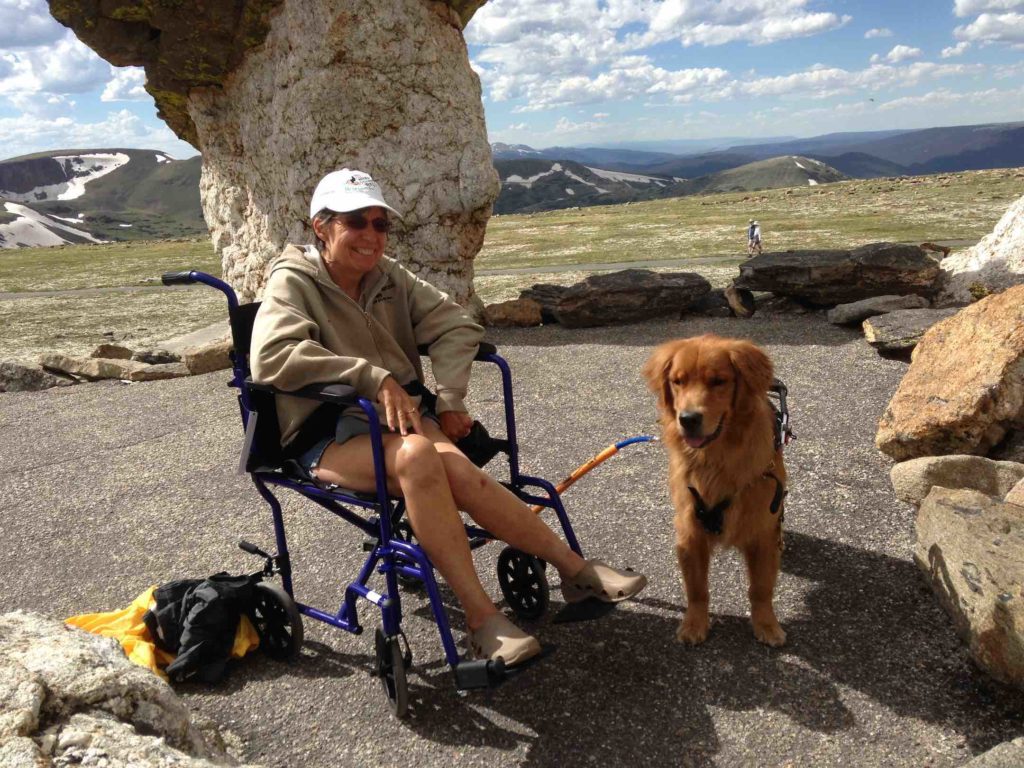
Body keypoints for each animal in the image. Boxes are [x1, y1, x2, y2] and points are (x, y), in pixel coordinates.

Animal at [643, 335, 786, 651]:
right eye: (678, 381)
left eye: (718, 381)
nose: (688, 419)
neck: (715, 460)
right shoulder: (690, 530)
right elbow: (697, 589)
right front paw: (694, 624)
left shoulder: (763, 529)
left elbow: (761, 587)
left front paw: (766, 624)